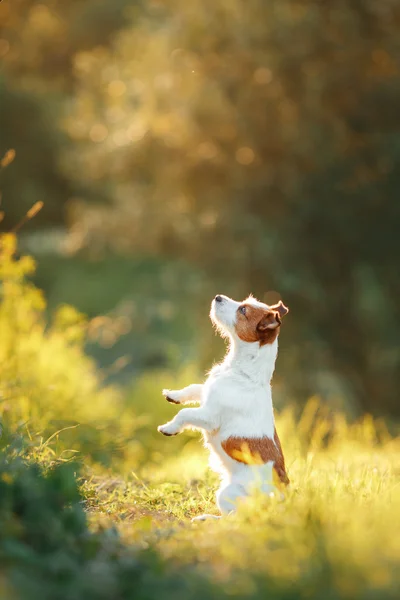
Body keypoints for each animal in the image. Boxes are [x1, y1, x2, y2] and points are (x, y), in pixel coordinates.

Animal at [156, 292, 288, 516]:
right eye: (244, 302)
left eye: (243, 310)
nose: (218, 297)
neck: (243, 372)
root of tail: (281, 500)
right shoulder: (207, 392)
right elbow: (193, 388)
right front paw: (173, 395)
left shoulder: (210, 416)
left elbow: (184, 413)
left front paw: (169, 428)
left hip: (227, 493)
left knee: (236, 519)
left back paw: (206, 518)